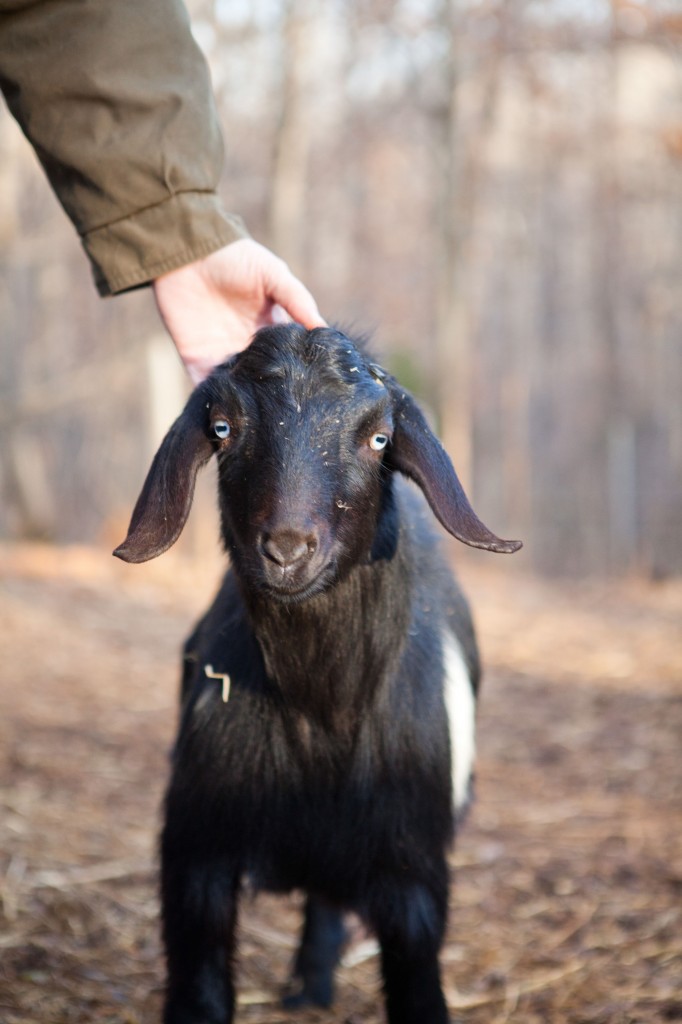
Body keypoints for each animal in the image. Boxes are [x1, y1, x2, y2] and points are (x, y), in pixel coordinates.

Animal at [114, 324, 521, 1024]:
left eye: (379, 438)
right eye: (223, 427)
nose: (287, 549)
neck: (319, 708)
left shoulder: (411, 865)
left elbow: (416, 979)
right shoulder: (197, 848)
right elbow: (200, 981)